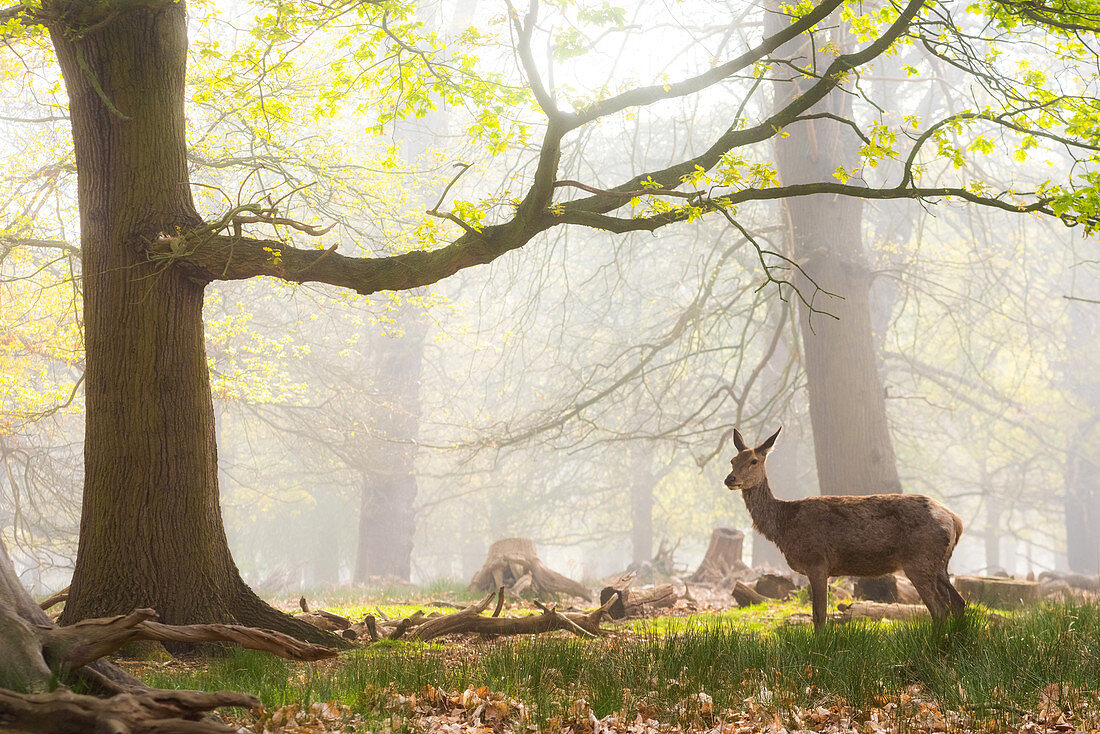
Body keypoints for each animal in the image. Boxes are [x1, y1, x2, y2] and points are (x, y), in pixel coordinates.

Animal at [726, 426, 968, 629]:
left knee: (940, 609)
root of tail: (955, 520)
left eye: (754, 461)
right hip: (940, 565)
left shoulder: (817, 561)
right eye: (732, 460)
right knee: (959, 603)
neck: (784, 525)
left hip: (919, 560)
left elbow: (819, 616)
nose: (730, 479)